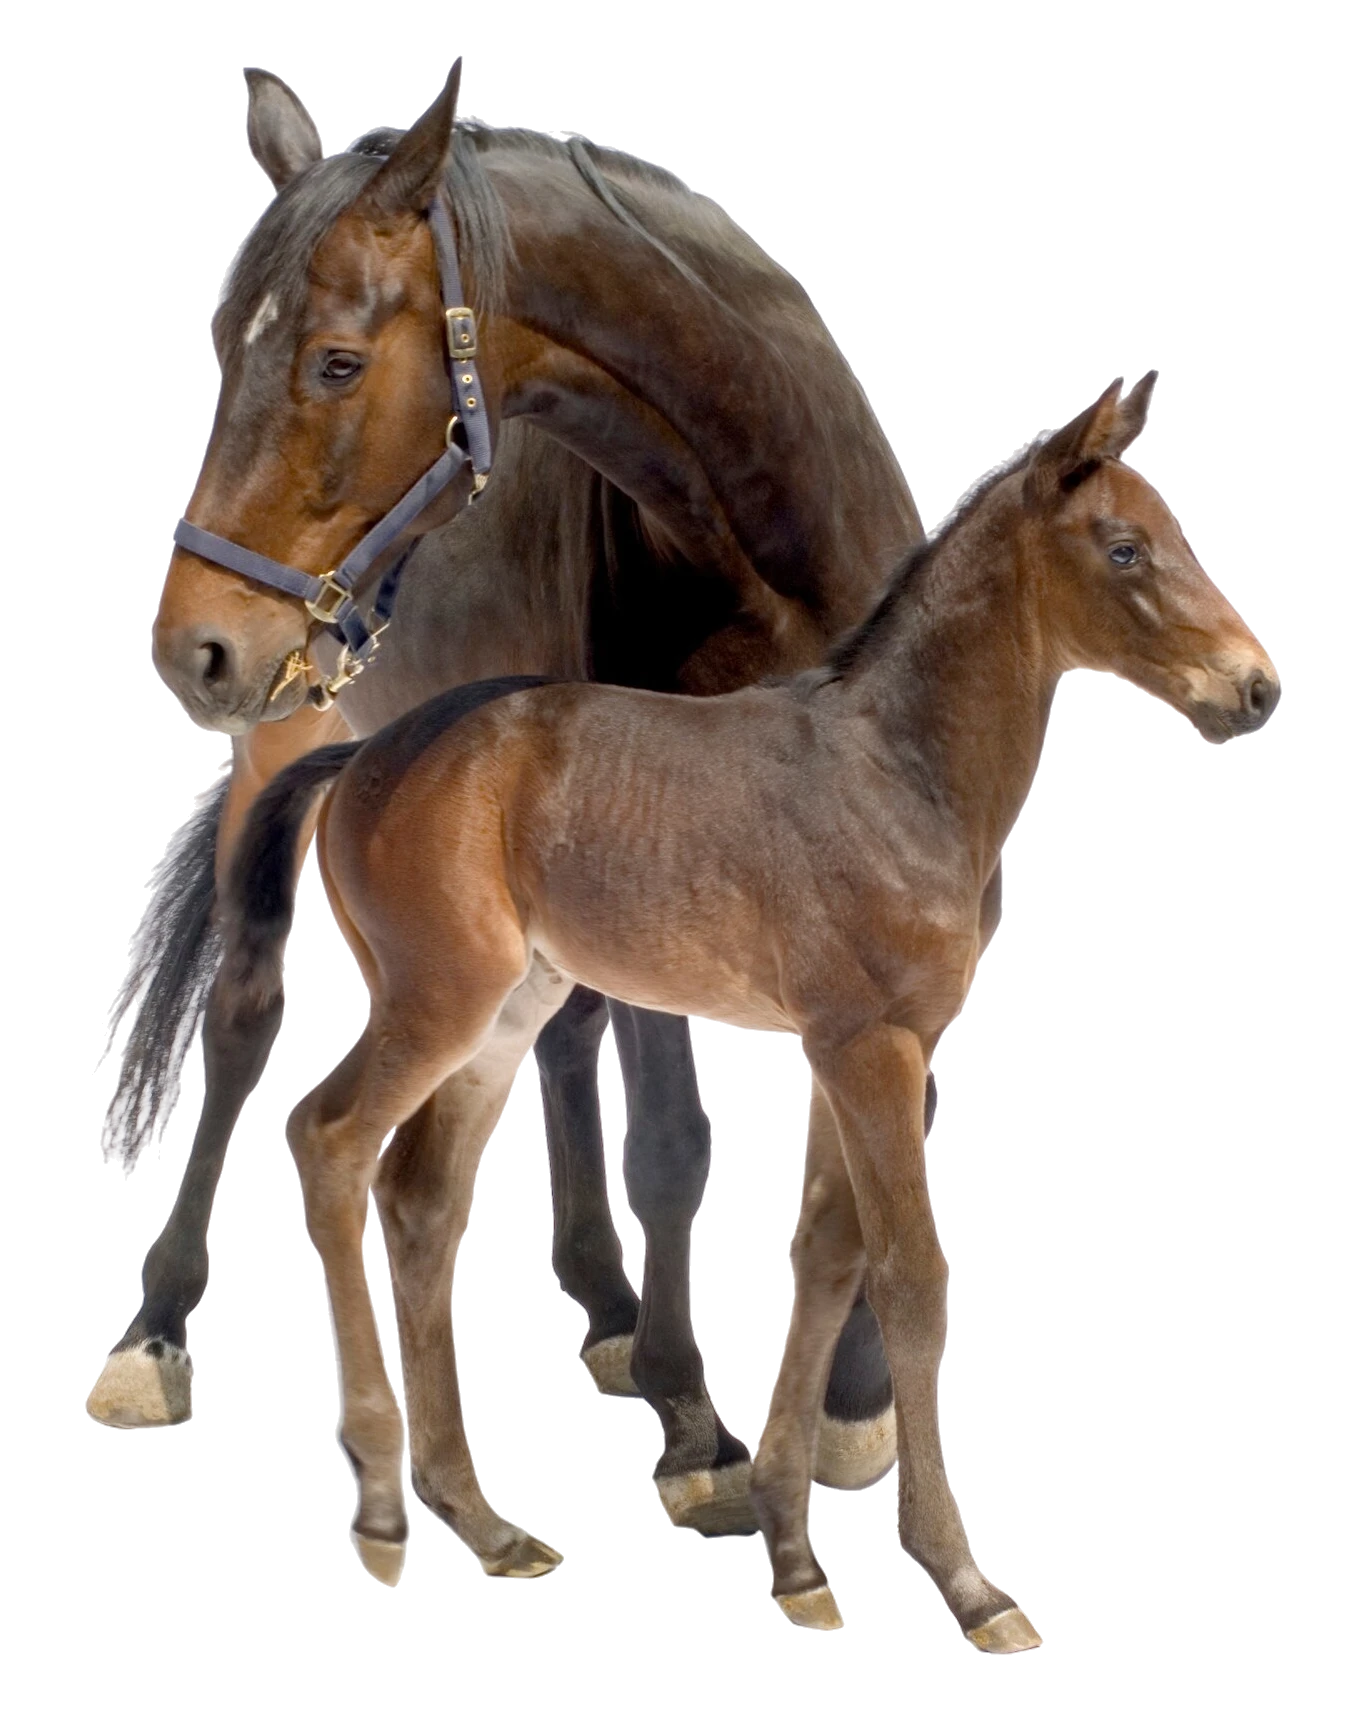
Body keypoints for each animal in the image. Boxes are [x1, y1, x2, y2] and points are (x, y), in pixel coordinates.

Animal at [88, 62, 923, 1527]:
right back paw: (158, 1330)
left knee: (559, 1026)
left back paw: (605, 1304)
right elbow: (675, 1135)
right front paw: (699, 1426)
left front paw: (849, 1399)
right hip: (289, 756)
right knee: (245, 1012)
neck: (765, 543)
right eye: (221, 352)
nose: (196, 644)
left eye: (337, 362)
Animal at [212, 374, 1279, 1637]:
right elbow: (911, 1278)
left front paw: (793, 1552)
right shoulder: (873, 1049)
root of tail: (367, 752)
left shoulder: (850, 1049)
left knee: (424, 1204)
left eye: (1173, 533)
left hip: (507, 1015)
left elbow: (822, 1257)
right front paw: (963, 1579)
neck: (893, 772)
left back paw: (485, 1524)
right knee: (328, 1138)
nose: (1254, 687)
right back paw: (382, 1506)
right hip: (438, 1002)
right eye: (1123, 549)